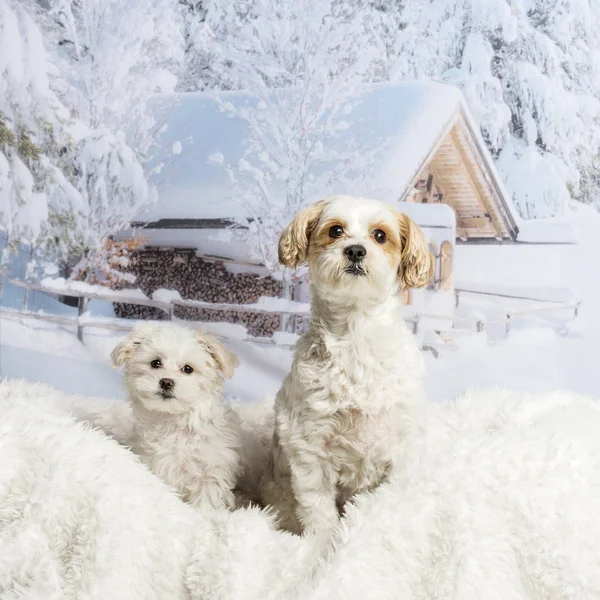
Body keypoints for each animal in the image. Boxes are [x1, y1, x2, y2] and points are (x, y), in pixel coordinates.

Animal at [111, 324, 243, 510]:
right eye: (155, 363)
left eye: (188, 369)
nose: (166, 382)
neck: (173, 422)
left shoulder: (212, 473)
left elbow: (206, 501)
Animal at [260, 193, 434, 536]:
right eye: (335, 230)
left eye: (380, 235)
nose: (355, 249)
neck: (356, 339)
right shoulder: (310, 448)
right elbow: (318, 511)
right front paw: (323, 544)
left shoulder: (401, 446)